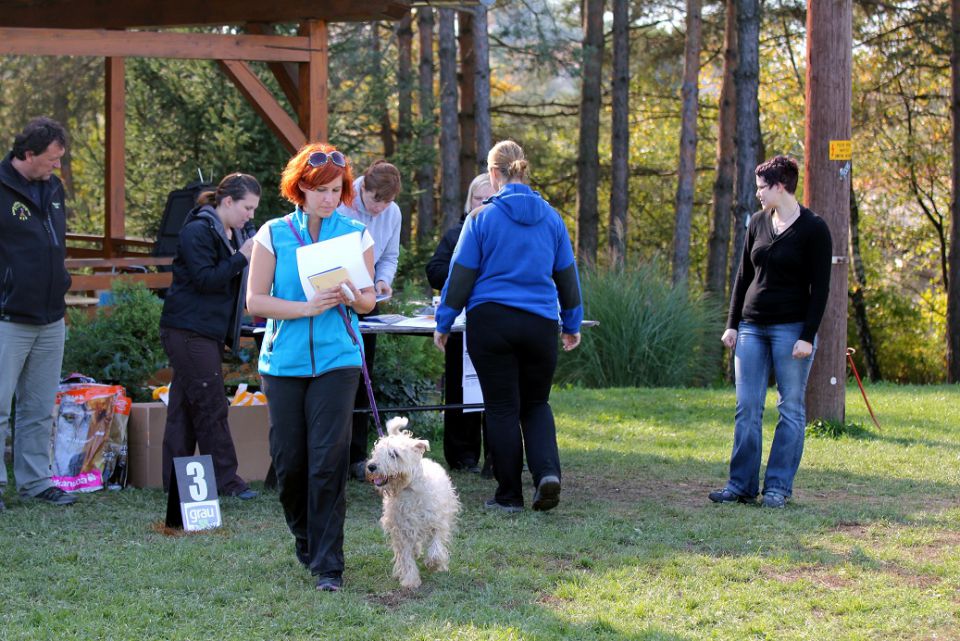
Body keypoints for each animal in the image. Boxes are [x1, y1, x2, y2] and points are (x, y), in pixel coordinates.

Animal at [366, 418, 460, 588]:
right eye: (376, 452)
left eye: (394, 454)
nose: (371, 466)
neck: (409, 489)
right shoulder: (401, 528)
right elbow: (406, 557)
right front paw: (410, 580)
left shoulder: (437, 521)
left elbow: (436, 546)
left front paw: (434, 564)